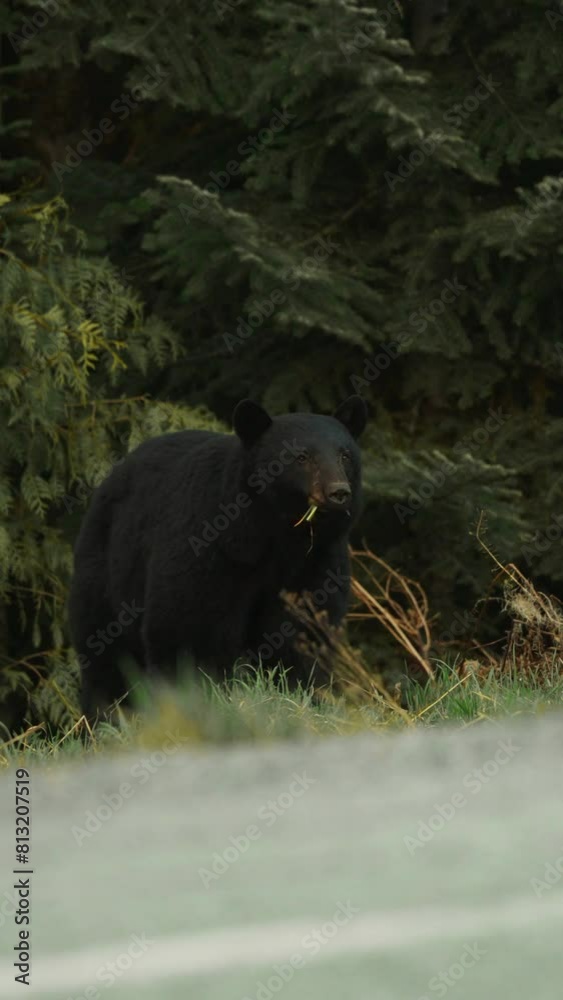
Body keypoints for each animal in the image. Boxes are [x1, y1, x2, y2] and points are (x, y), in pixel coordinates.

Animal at [68, 394, 367, 719]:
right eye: (301, 457)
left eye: (345, 455)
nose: (338, 492)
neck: (274, 534)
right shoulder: (211, 546)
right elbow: (189, 625)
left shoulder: (316, 560)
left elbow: (303, 629)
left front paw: (303, 696)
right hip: (106, 571)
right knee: (106, 652)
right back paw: (105, 716)